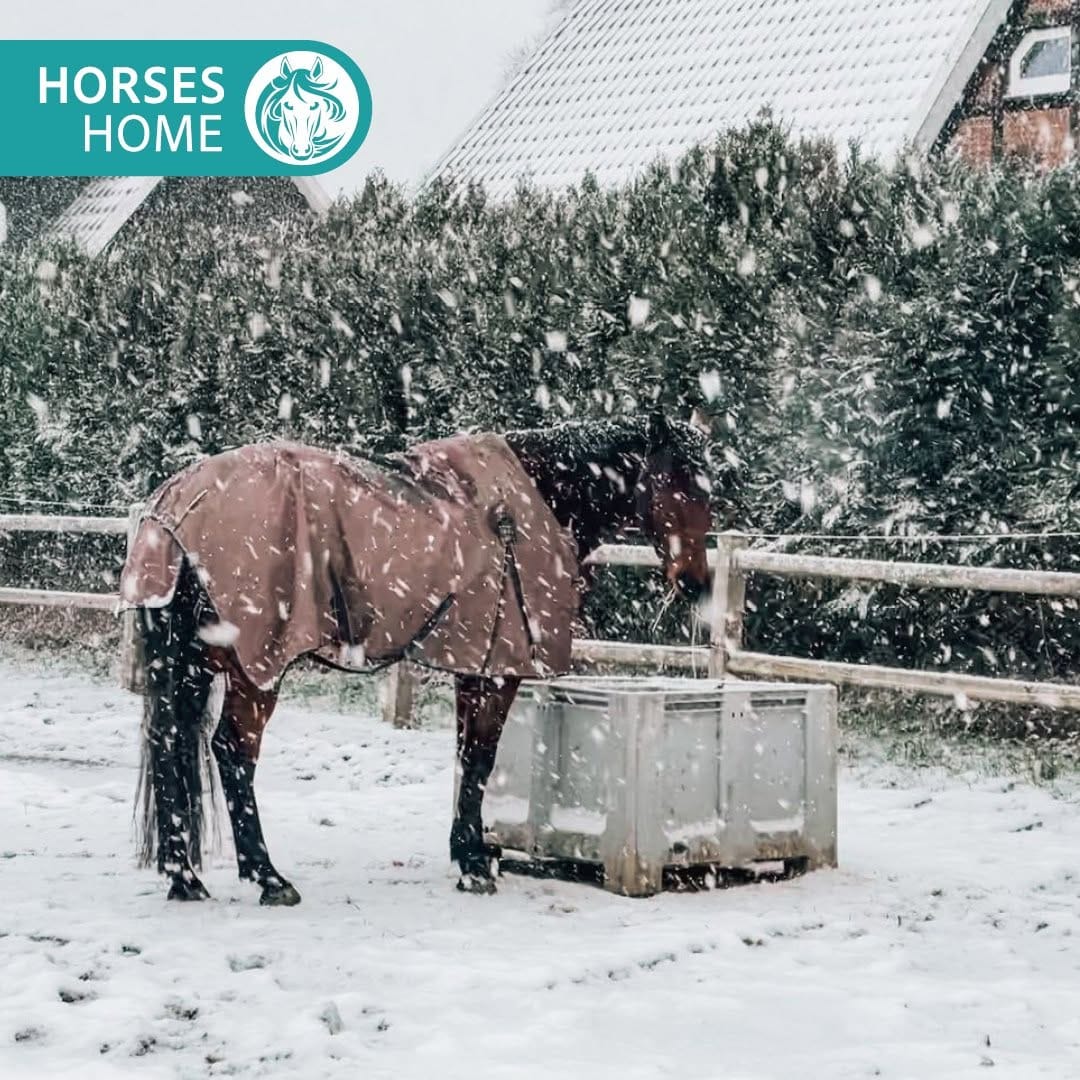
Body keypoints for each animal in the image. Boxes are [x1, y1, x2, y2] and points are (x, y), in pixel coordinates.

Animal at [124, 414, 713, 904]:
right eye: (676, 482)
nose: (696, 582)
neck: (533, 500)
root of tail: (176, 503)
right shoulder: (498, 671)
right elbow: (480, 757)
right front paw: (473, 865)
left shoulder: (475, 664)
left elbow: (467, 756)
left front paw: (469, 851)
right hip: (255, 668)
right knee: (233, 753)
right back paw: (267, 877)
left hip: (193, 666)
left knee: (174, 746)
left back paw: (184, 876)